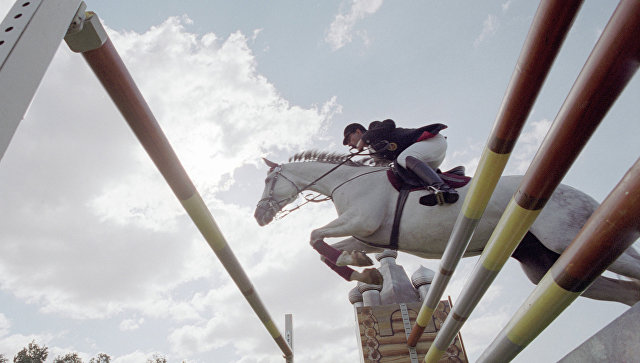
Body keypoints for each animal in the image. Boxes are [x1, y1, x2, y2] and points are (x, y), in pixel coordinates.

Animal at [255, 152, 640, 306]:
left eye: (269, 180)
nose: (259, 216)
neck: (345, 183)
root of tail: (580, 194)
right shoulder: (367, 234)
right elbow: (334, 250)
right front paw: (365, 272)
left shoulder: (360, 221)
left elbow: (315, 237)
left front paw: (362, 272)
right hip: (547, 264)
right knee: (626, 292)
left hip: (570, 235)